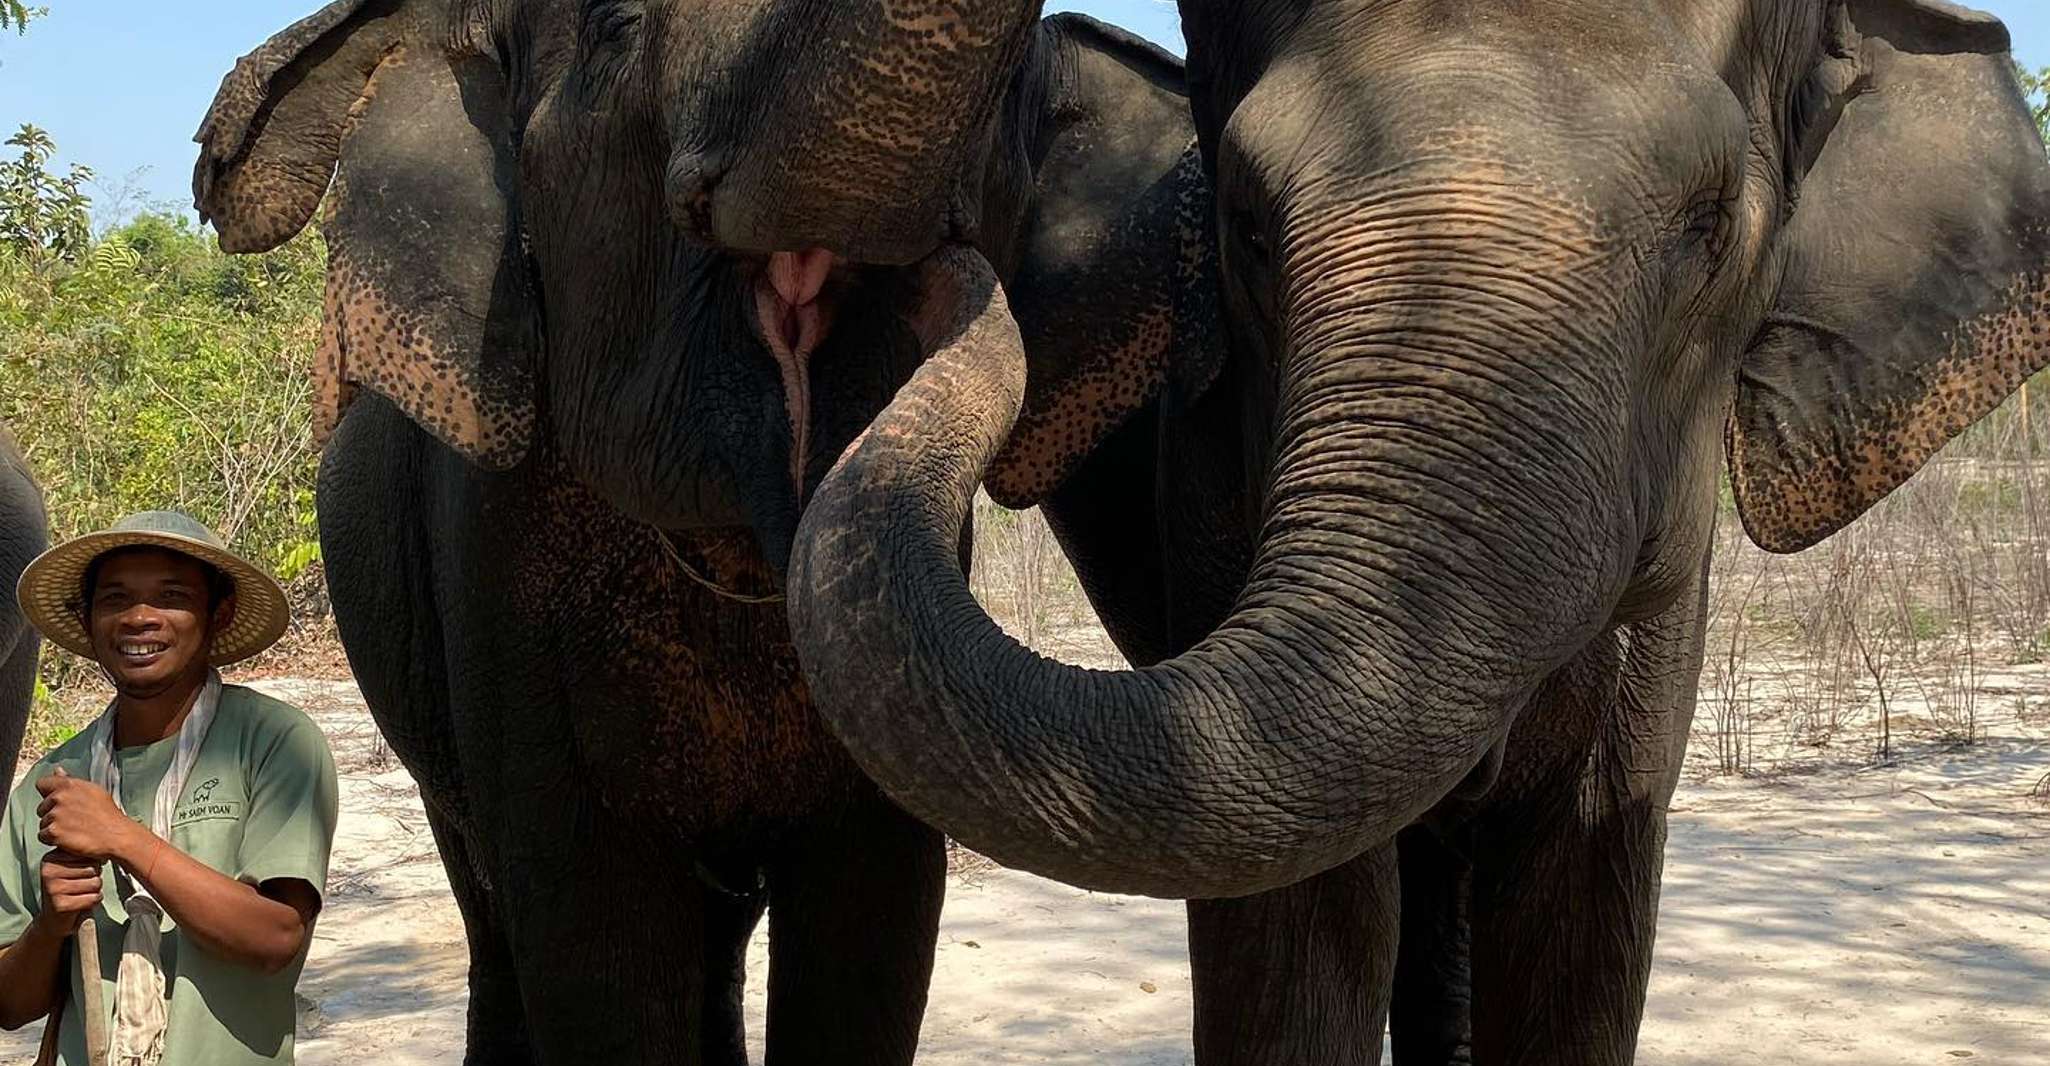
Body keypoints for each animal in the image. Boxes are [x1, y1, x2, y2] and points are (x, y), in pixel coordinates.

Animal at [191, 1, 1216, 1062]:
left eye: (1013, 90)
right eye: (614, 28)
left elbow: (877, 922)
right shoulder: (491, 568)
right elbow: (595, 945)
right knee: (491, 909)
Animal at [784, 1, 2050, 1064]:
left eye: (1708, 227)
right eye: (1247, 226)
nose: (932, 255)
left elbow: (1585, 904)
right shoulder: (1210, 487)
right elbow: (1299, 934)